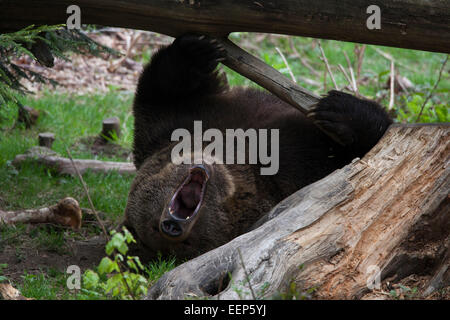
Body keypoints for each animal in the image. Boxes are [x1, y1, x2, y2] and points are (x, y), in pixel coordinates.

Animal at [123, 33, 390, 262]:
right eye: (150, 225)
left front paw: (197, 50)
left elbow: (161, 90)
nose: (171, 225)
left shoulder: (180, 122)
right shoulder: (289, 174)